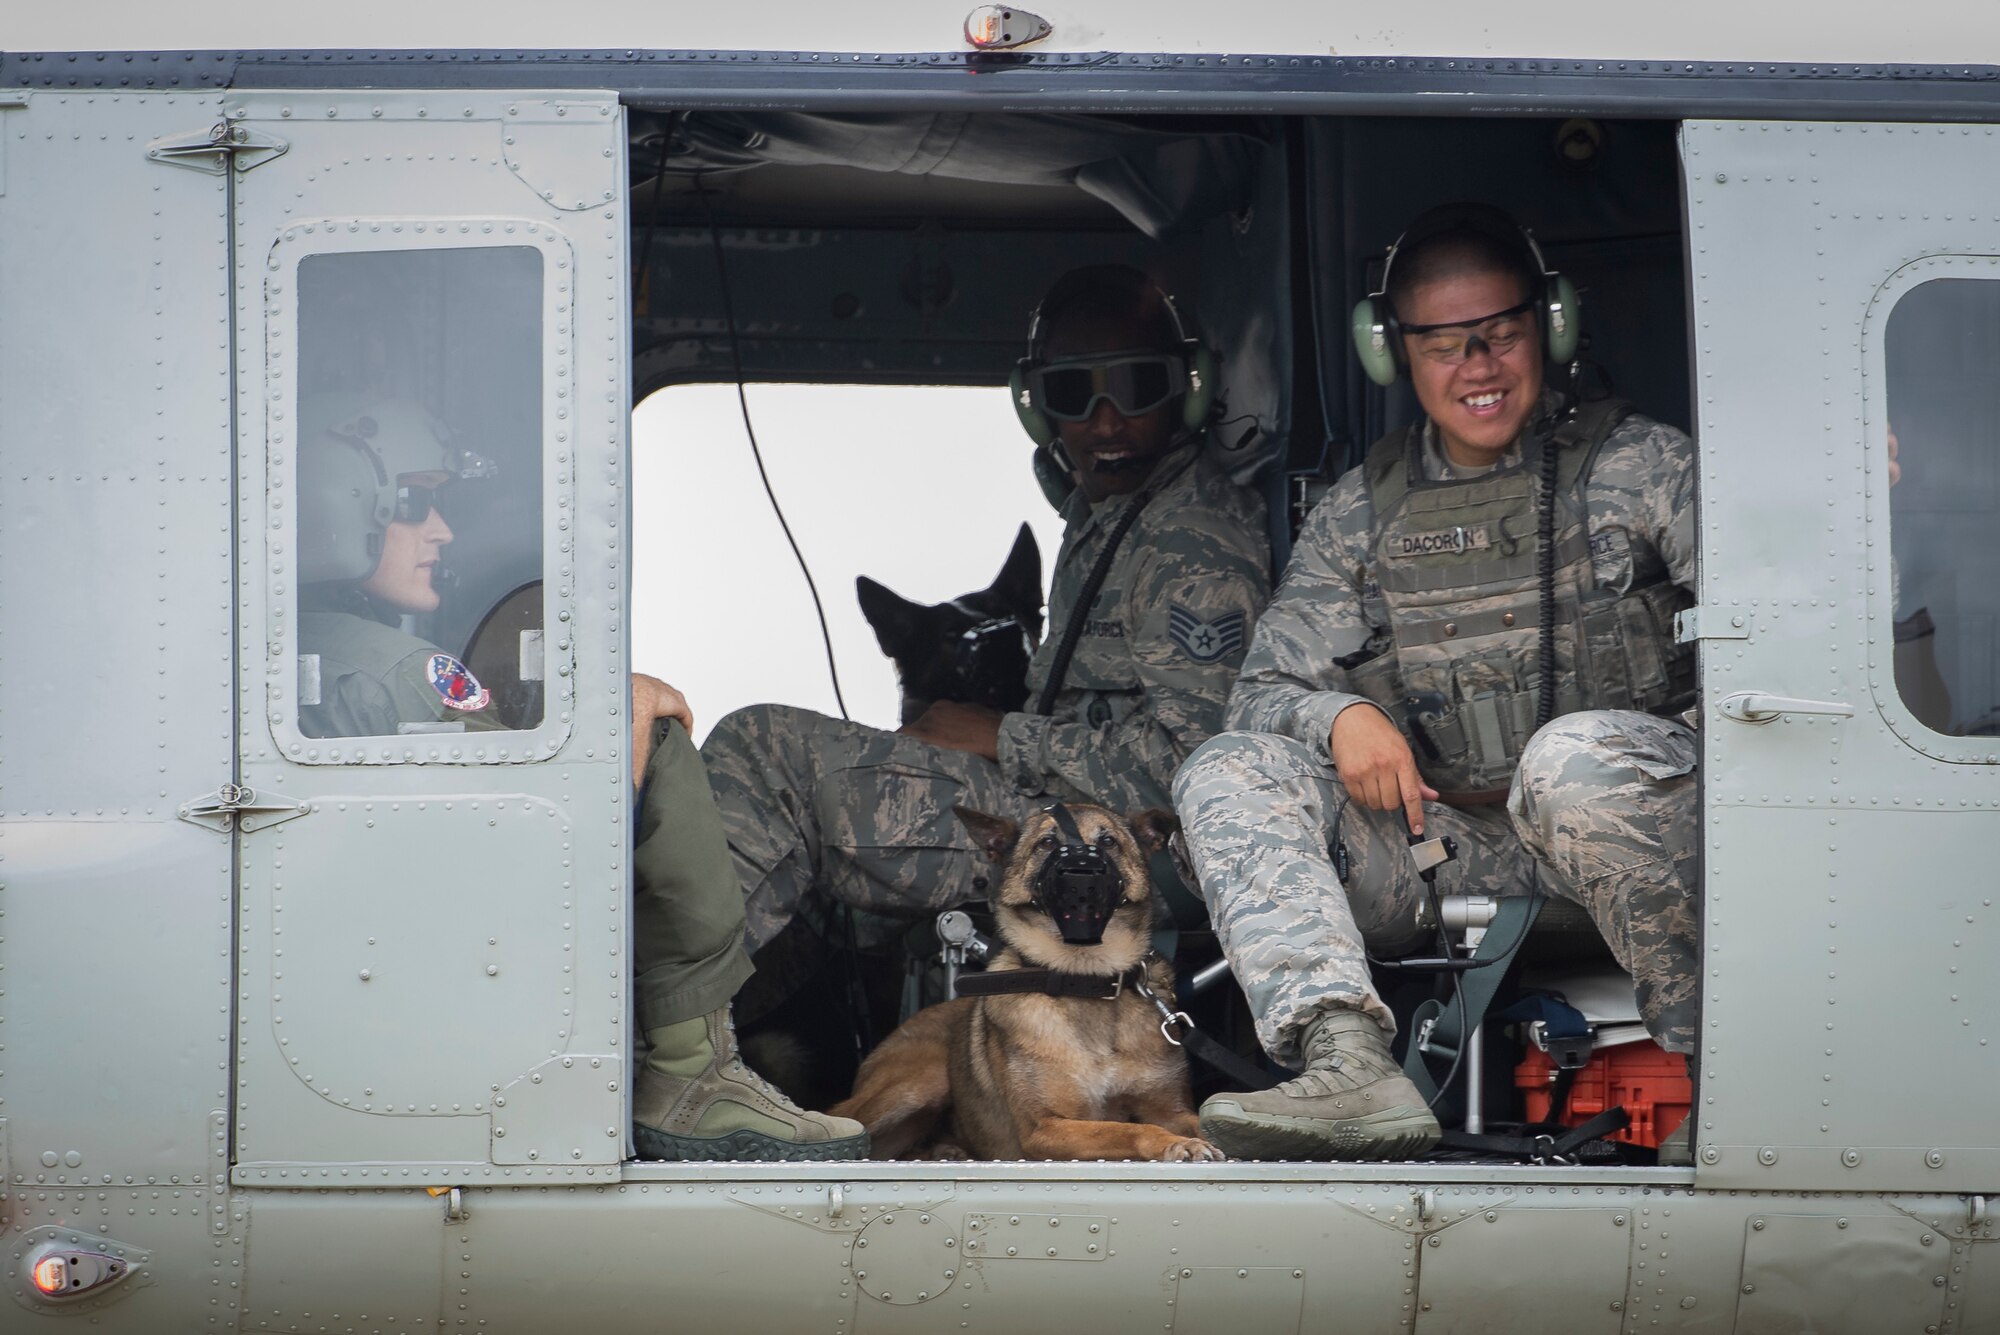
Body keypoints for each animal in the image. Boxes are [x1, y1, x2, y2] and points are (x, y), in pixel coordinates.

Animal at [828, 803, 1216, 1159]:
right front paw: (1173, 1143)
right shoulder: (1044, 1129)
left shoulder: (1170, 1109)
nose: (1083, 875)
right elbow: (1127, 1129)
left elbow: (1192, 1119)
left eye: (1108, 842)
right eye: (1047, 842)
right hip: (924, 1078)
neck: (1086, 978)